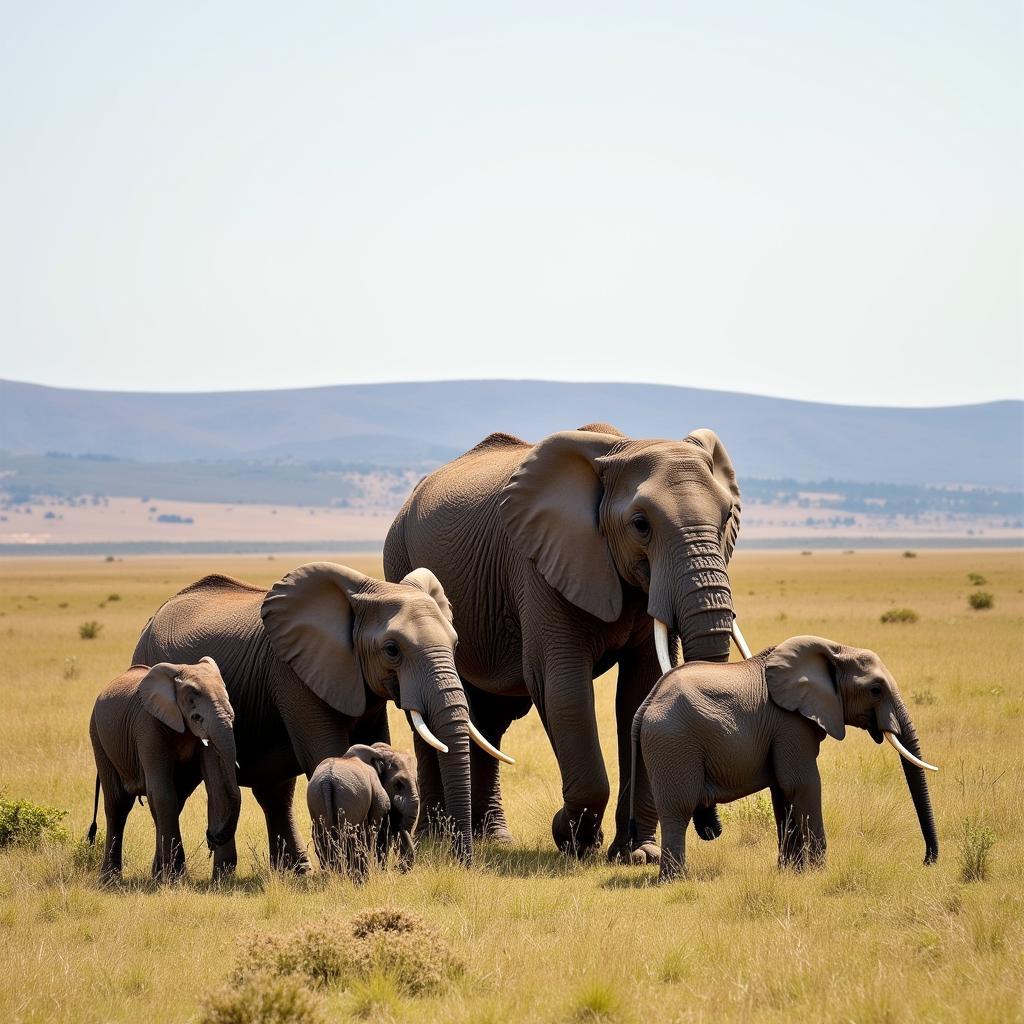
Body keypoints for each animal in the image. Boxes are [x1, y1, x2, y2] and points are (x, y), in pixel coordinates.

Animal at [87, 659, 239, 884]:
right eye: (196, 717)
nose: (212, 837)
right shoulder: (148, 725)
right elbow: (162, 793)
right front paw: (177, 877)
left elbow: (215, 787)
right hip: (98, 735)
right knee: (118, 804)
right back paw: (110, 880)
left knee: (170, 802)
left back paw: (157, 875)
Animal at [303, 741, 419, 876]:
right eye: (398, 784)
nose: (396, 867)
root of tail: (327, 782)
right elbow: (379, 832)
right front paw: (381, 872)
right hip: (350, 800)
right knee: (353, 838)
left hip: (317, 799)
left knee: (321, 838)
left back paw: (335, 875)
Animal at [380, 419, 749, 860]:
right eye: (640, 524)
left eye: (726, 517)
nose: (711, 828)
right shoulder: (538, 564)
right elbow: (563, 690)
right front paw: (574, 840)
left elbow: (639, 693)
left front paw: (636, 854)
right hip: (399, 558)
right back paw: (436, 840)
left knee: (489, 717)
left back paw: (494, 839)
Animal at [630, 630, 942, 880]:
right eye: (875, 690)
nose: (927, 861)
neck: (836, 649)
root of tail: (646, 704)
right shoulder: (790, 723)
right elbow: (802, 784)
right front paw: (818, 873)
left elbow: (782, 791)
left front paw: (791, 872)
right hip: (673, 744)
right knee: (678, 809)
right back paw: (675, 880)